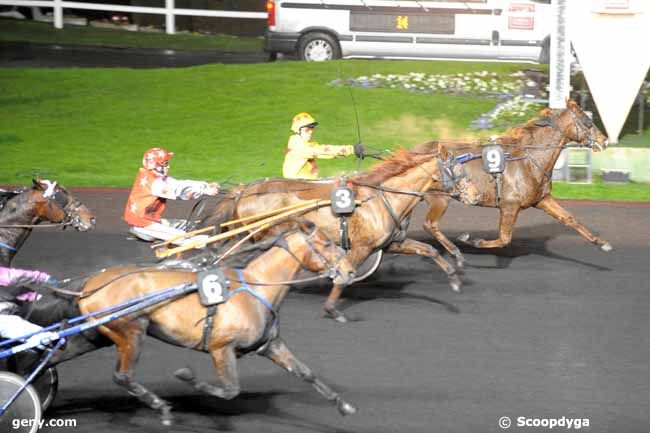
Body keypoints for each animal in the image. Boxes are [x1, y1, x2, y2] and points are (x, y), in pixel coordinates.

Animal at [78, 223, 356, 426]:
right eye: (327, 243)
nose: (350, 271)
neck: (256, 289)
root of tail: (89, 287)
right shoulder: (222, 348)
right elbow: (230, 389)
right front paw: (188, 378)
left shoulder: (270, 345)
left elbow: (306, 372)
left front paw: (343, 404)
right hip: (131, 331)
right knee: (123, 376)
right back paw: (162, 408)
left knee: (120, 375)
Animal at [200, 142, 478, 320]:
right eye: (458, 170)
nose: (475, 195)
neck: (382, 198)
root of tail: (244, 190)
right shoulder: (362, 247)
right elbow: (345, 275)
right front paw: (332, 308)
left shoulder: (390, 243)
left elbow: (430, 250)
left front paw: (454, 278)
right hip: (260, 236)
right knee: (230, 259)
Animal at [416, 100, 608, 266]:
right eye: (588, 121)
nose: (604, 140)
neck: (529, 160)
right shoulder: (509, 205)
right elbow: (504, 239)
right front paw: (472, 240)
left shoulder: (542, 199)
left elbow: (569, 218)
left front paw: (601, 242)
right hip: (439, 198)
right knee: (430, 225)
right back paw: (454, 251)